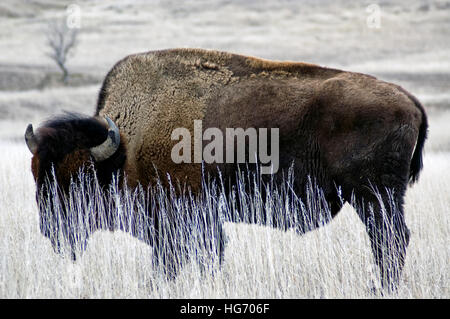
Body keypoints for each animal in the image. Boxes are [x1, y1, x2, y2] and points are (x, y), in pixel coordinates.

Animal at [26, 48, 428, 292]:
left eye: (80, 178)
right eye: (37, 175)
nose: (51, 231)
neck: (124, 147)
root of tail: (409, 100)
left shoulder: (181, 219)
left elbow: (181, 261)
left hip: (373, 196)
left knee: (390, 240)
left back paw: (378, 288)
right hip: (374, 198)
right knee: (389, 240)